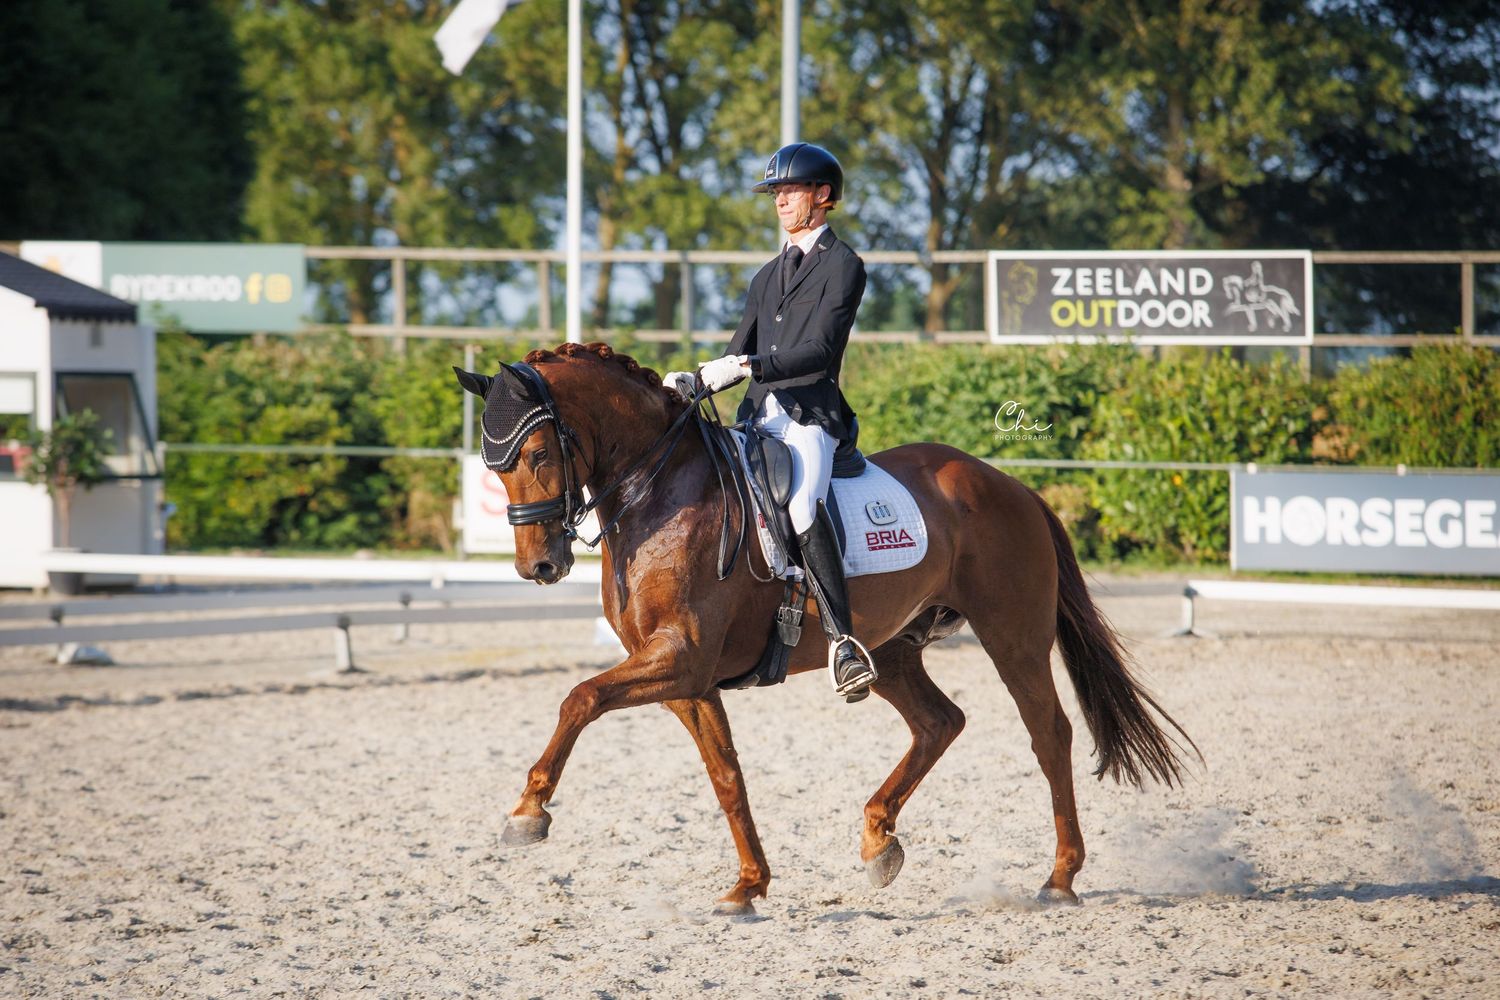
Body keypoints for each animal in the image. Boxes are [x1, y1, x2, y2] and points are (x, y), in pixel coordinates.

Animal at [454, 341, 1197, 913]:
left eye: (539, 455)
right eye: (493, 465)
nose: (539, 565)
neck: (657, 490)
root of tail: (1011, 486)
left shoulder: (680, 658)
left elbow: (579, 697)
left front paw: (527, 813)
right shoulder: (686, 678)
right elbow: (726, 775)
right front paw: (748, 887)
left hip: (1012, 637)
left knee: (1049, 735)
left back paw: (1060, 878)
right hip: (892, 648)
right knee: (939, 722)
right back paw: (879, 841)